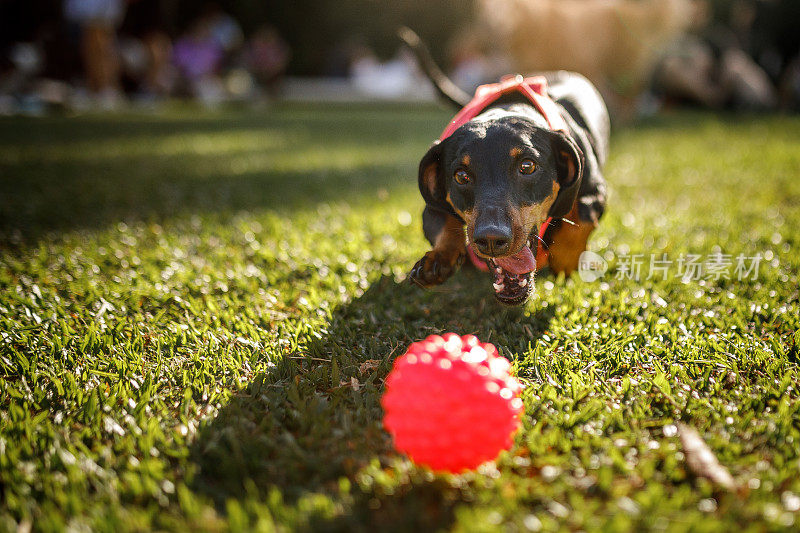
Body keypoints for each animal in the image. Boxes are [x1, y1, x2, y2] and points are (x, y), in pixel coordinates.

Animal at [404, 29, 608, 304]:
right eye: (460, 175)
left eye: (527, 166)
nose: (491, 239)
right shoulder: (433, 207)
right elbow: (445, 225)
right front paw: (437, 260)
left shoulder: (595, 192)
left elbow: (578, 225)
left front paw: (564, 261)